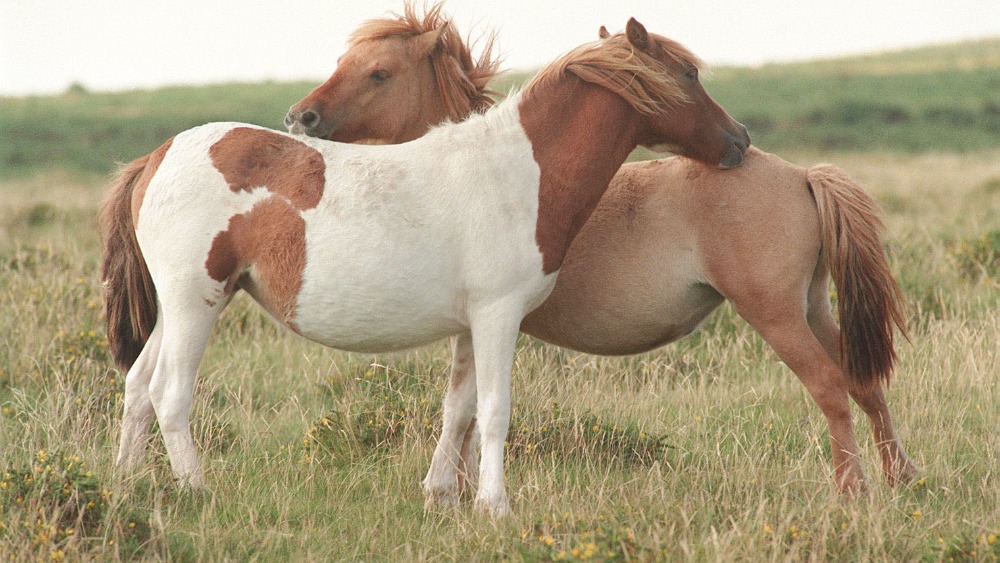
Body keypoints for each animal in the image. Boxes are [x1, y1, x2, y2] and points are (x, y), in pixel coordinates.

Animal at [100, 17, 750, 516]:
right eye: (689, 75)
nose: (740, 139)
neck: (520, 171)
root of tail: (157, 156)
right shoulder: (498, 317)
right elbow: (494, 413)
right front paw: (495, 506)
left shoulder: (470, 326)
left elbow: (460, 411)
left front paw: (448, 499)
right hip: (196, 304)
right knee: (169, 395)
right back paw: (196, 491)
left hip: (179, 309)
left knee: (135, 389)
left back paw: (128, 487)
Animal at [286, 8, 917, 503]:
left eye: (379, 72)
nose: (299, 118)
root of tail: (804, 175)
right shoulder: (475, 325)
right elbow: (462, 411)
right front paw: (460, 490)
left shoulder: (487, 321)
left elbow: (468, 413)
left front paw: (462, 492)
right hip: (812, 308)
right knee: (864, 386)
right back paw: (902, 479)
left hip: (776, 316)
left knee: (831, 388)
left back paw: (852, 492)